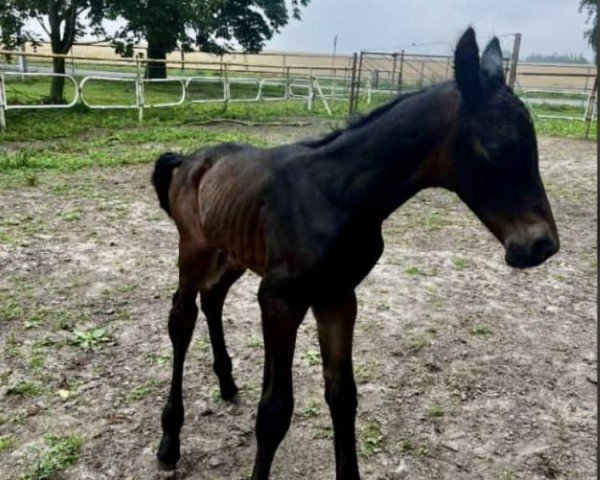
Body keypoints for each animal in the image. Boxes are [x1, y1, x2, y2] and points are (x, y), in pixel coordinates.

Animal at [149, 29, 556, 480]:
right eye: (498, 147)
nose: (542, 245)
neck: (337, 194)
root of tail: (188, 159)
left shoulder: (338, 296)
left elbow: (342, 396)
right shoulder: (280, 299)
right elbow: (274, 411)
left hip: (234, 251)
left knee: (213, 298)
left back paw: (227, 383)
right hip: (195, 249)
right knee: (182, 318)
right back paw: (169, 442)